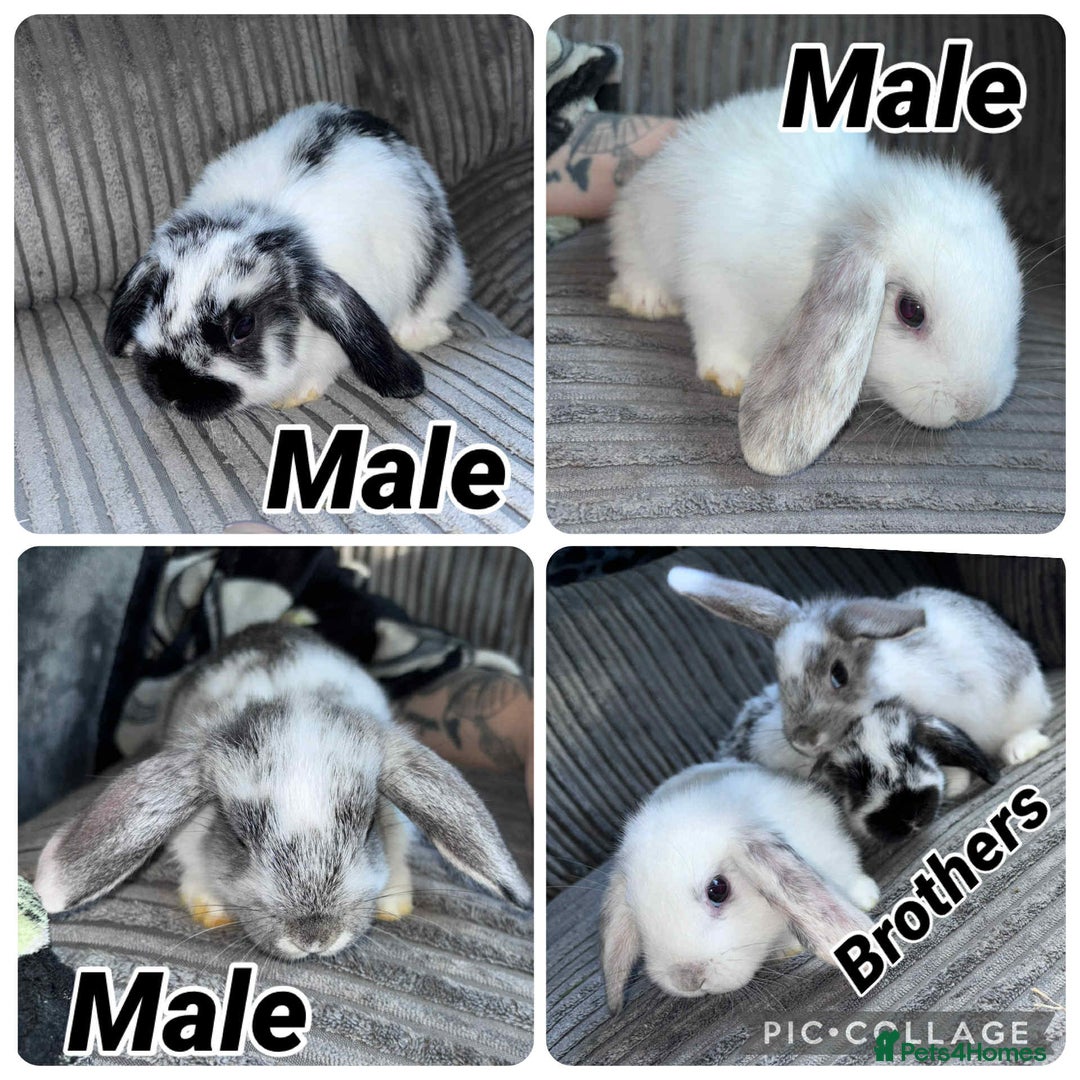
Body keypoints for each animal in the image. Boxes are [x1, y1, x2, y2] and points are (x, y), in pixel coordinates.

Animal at [608, 86, 1022, 475]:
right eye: (910, 311)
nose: (974, 405)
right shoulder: (715, 280)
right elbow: (721, 333)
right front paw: (731, 376)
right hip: (644, 225)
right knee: (631, 253)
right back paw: (646, 300)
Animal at [667, 566, 1053, 796]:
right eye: (778, 676)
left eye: (839, 674)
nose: (803, 740)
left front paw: (955, 781)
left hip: (1022, 698)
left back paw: (1020, 749)